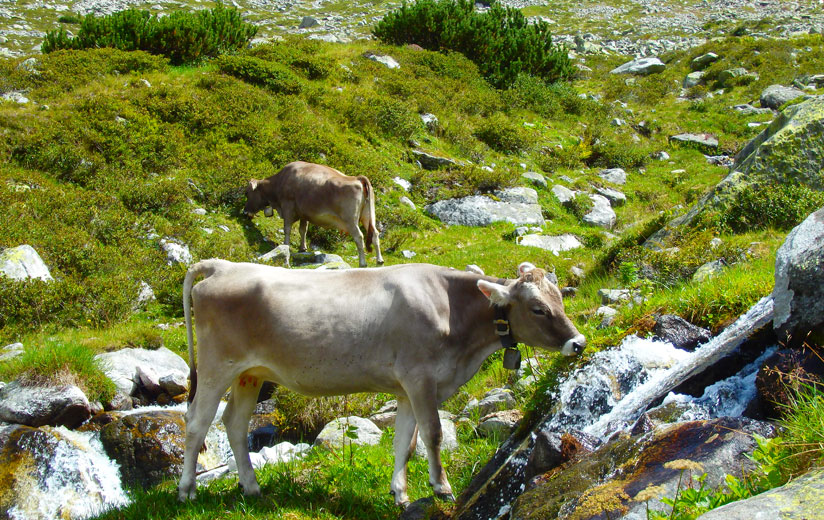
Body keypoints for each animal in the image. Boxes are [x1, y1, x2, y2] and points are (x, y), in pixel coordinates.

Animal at [177, 260, 584, 508]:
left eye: (560, 300)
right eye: (538, 309)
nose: (578, 343)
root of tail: (223, 266)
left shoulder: (405, 389)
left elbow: (405, 442)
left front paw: (400, 494)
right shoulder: (420, 378)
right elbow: (433, 434)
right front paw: (442, 487)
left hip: (251, 374)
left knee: (234, 424)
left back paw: (252, 487)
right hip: (216, 367)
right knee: (196, 424)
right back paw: (186, 491)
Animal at [243, 160, 384, 268]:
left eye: (247, 193)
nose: (245, 212)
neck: (280, 181)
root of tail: (356, 178)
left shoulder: (287, 207)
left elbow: (287, 229)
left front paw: (286, 245)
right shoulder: (303, 214)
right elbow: (303, 230)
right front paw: (303, 248)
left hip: (350, 220)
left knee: (359, 237)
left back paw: (363, 263)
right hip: (368, 216)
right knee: (375, 234)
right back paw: (379, 260)